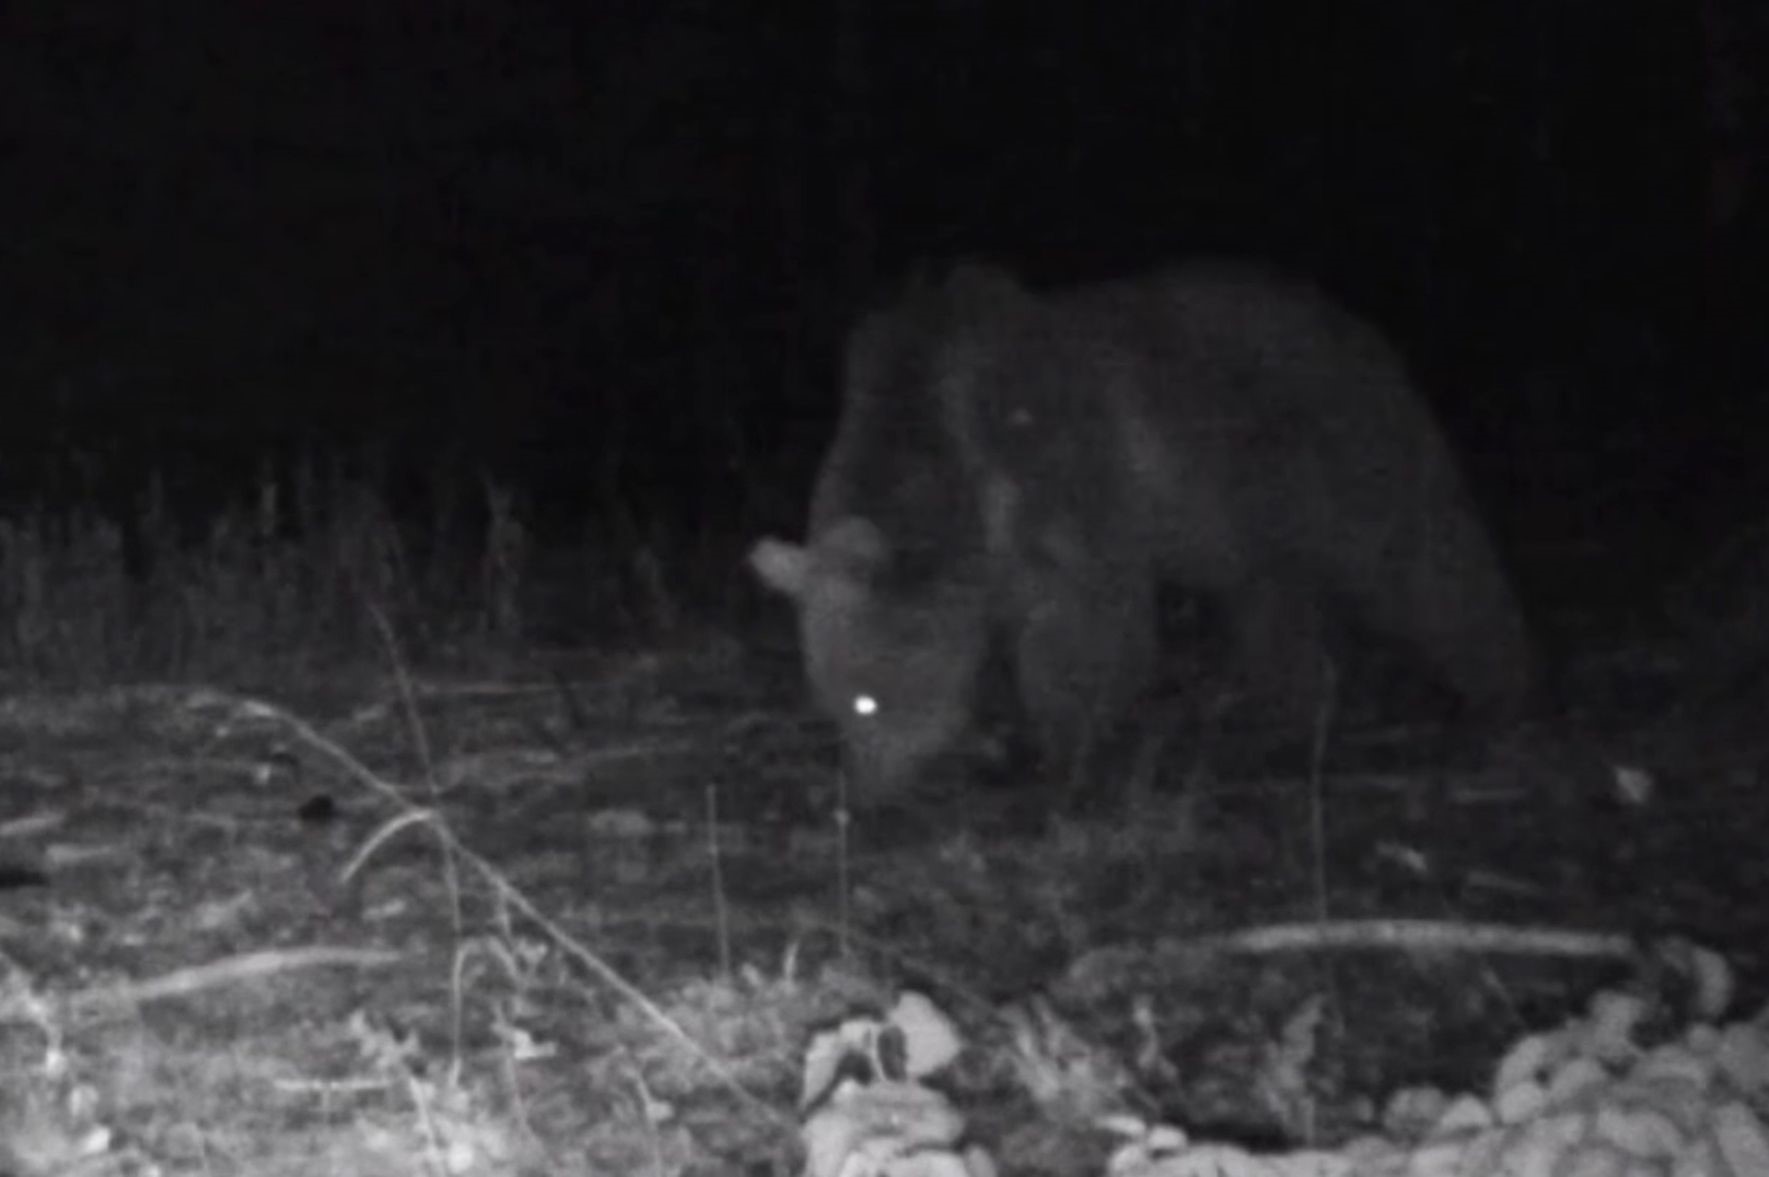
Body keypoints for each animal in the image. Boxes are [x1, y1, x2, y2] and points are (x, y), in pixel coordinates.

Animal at [750, 260, 1535, 807]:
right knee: (1275, 607)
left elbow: (1088, 628)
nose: (867, 800)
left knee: (1422, 559)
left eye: (868, 699)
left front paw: (1067, 759)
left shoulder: (1062, 480)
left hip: (1339, 452)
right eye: (829, 698)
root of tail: (1357, 325)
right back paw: (1286, 726)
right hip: (1251, 520)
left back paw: (1500, 700)